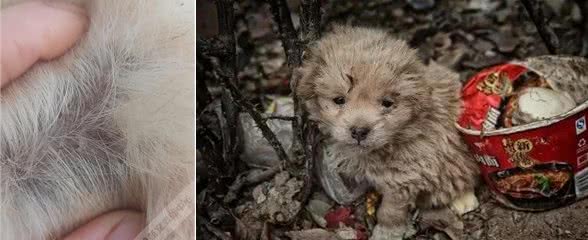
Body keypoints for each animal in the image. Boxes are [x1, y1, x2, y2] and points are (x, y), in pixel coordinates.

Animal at [296, 25, 480, 239]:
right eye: (339, 100)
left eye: (387, 103)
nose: (359, 131)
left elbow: (390, 211)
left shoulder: (405, 176)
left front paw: (386, 231)